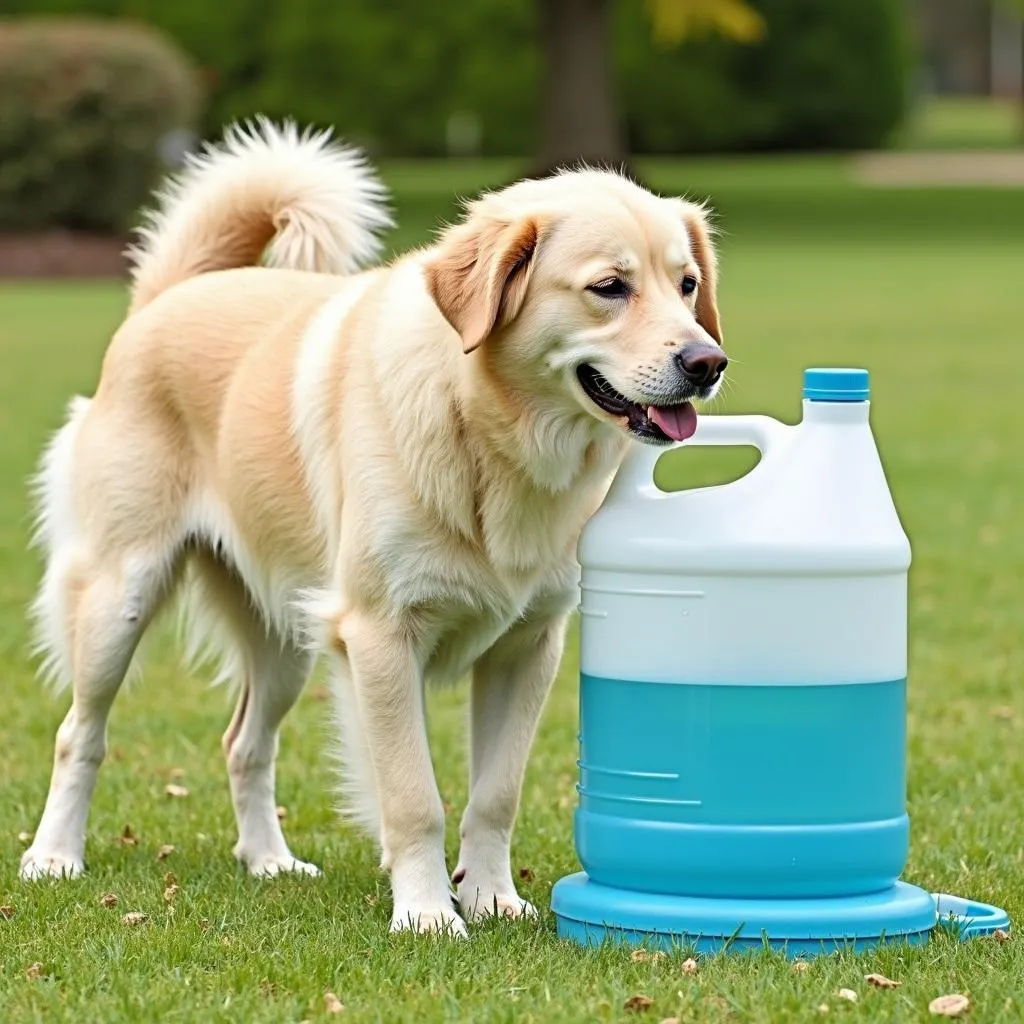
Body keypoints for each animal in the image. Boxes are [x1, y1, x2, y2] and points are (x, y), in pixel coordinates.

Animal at [24, 119, 729, 937]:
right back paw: (54, 856)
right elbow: (414, 797)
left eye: (687, 285)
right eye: (609, 288)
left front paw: (492, 897)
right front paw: (427, 912)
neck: (491, 433)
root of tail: (165, 298)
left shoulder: (529, 647)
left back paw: (269, 861)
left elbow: (495, 794)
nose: (708, 362)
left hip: (286, 641)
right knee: (79, 735)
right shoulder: (381, 637)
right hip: (121, 599)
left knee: (244, 745)